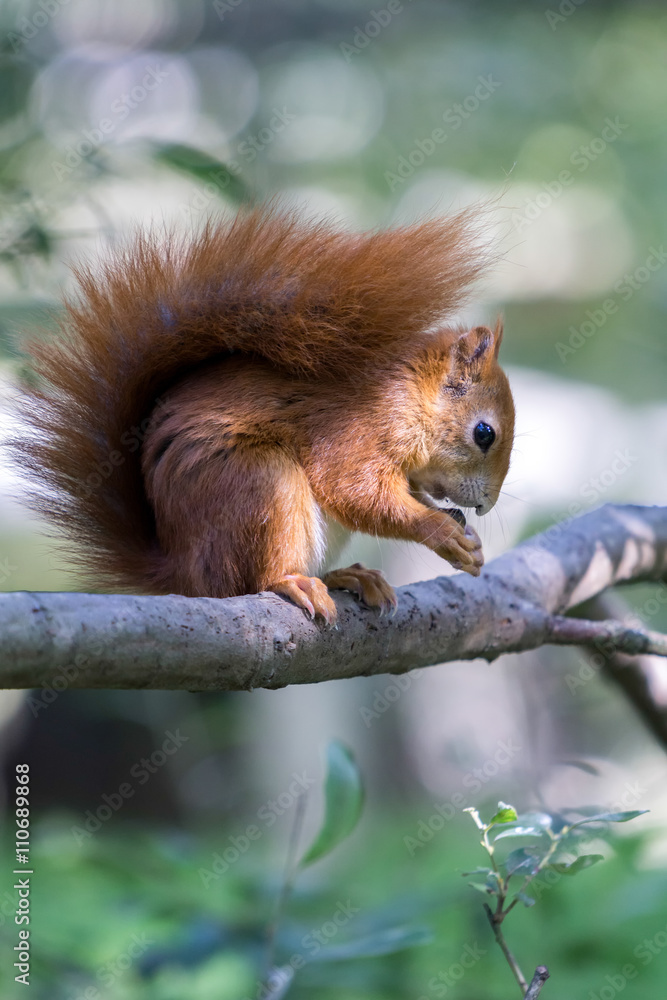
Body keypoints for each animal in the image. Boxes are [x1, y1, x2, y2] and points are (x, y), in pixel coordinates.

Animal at [12, 203, 515, 623]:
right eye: (484, 433)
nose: (486, 505)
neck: (406, 394)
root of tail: (184, 575)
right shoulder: (352, 428)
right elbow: (355, 491)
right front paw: (440, 530)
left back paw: (346, 576)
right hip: (259, 483)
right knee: (252, 580)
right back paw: (293, 582)